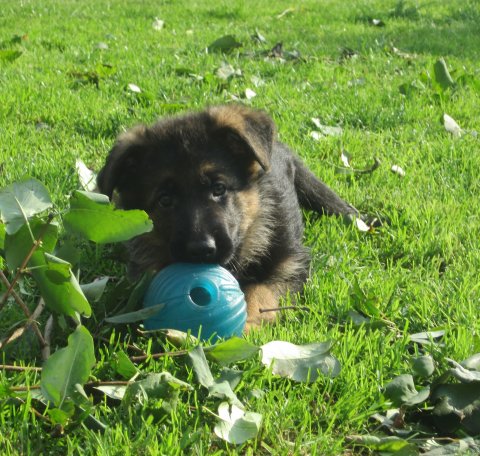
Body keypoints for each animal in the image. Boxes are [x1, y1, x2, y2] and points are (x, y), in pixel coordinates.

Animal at [97, 105, 357, 329]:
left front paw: (247, 324)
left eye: (219, 188)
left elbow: (260, 292)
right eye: (165, 200)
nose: (201, 250)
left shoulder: (290, 264)